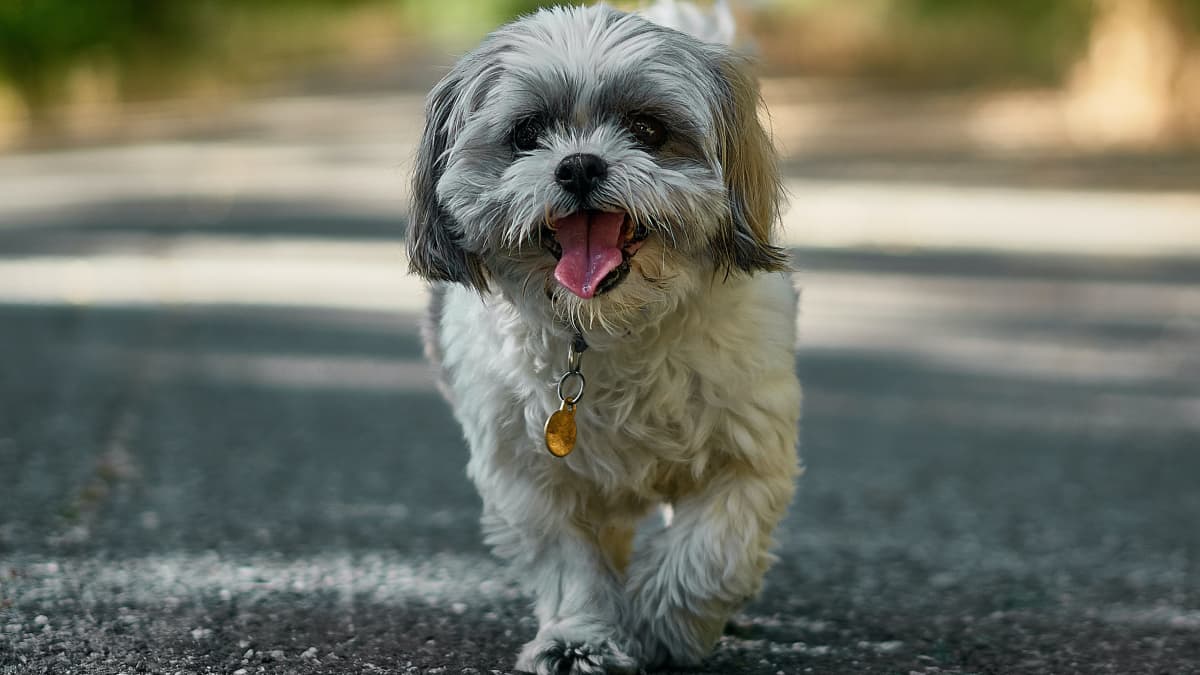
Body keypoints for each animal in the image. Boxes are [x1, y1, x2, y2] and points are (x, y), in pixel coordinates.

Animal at [408, 2, 801, 667]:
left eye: (647, 129)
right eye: (527, 134)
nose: (579, 164)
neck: (608, 329)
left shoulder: (745, 452)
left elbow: (711, 551)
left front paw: (665, 623)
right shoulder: (528, 475)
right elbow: (570, 562)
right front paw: (579, 638)